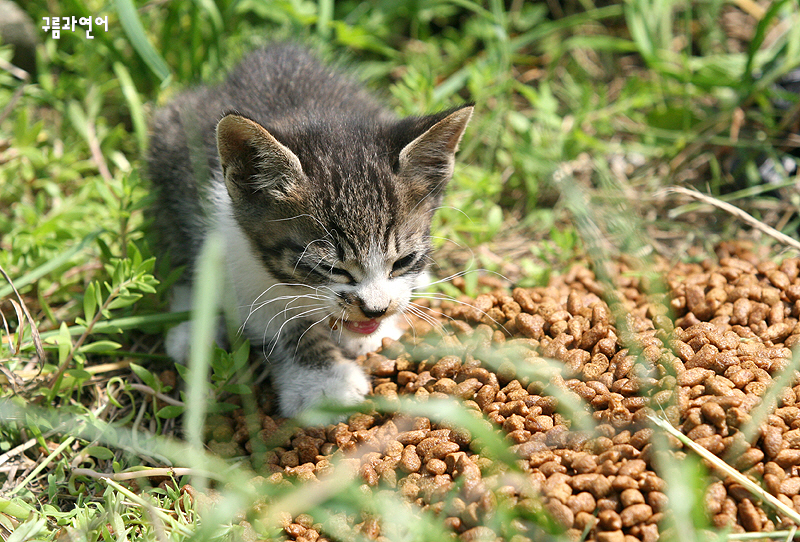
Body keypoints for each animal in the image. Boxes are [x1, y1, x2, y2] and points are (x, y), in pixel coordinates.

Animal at [147, 45, 472, 416]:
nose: (376, 310)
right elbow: (282, 322)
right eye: (331, 268)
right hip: (171, 151)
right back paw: (191, 330)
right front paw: (323, 381)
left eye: (404, 261)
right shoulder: (234, 251)